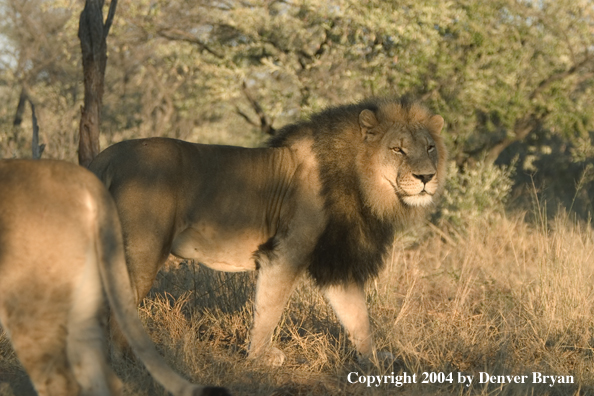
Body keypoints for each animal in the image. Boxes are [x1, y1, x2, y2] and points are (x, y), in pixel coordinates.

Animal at [90, 97, 444, 366]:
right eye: (398, 150)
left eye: (430, 148)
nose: (427, 177)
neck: (362, 184)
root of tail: (106, 158)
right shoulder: (286, 252)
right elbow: (269, 308)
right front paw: (260, 357)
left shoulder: (334, 264)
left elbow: (357, 316)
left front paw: (374, 360)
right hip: (142, 250)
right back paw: (128, 360)